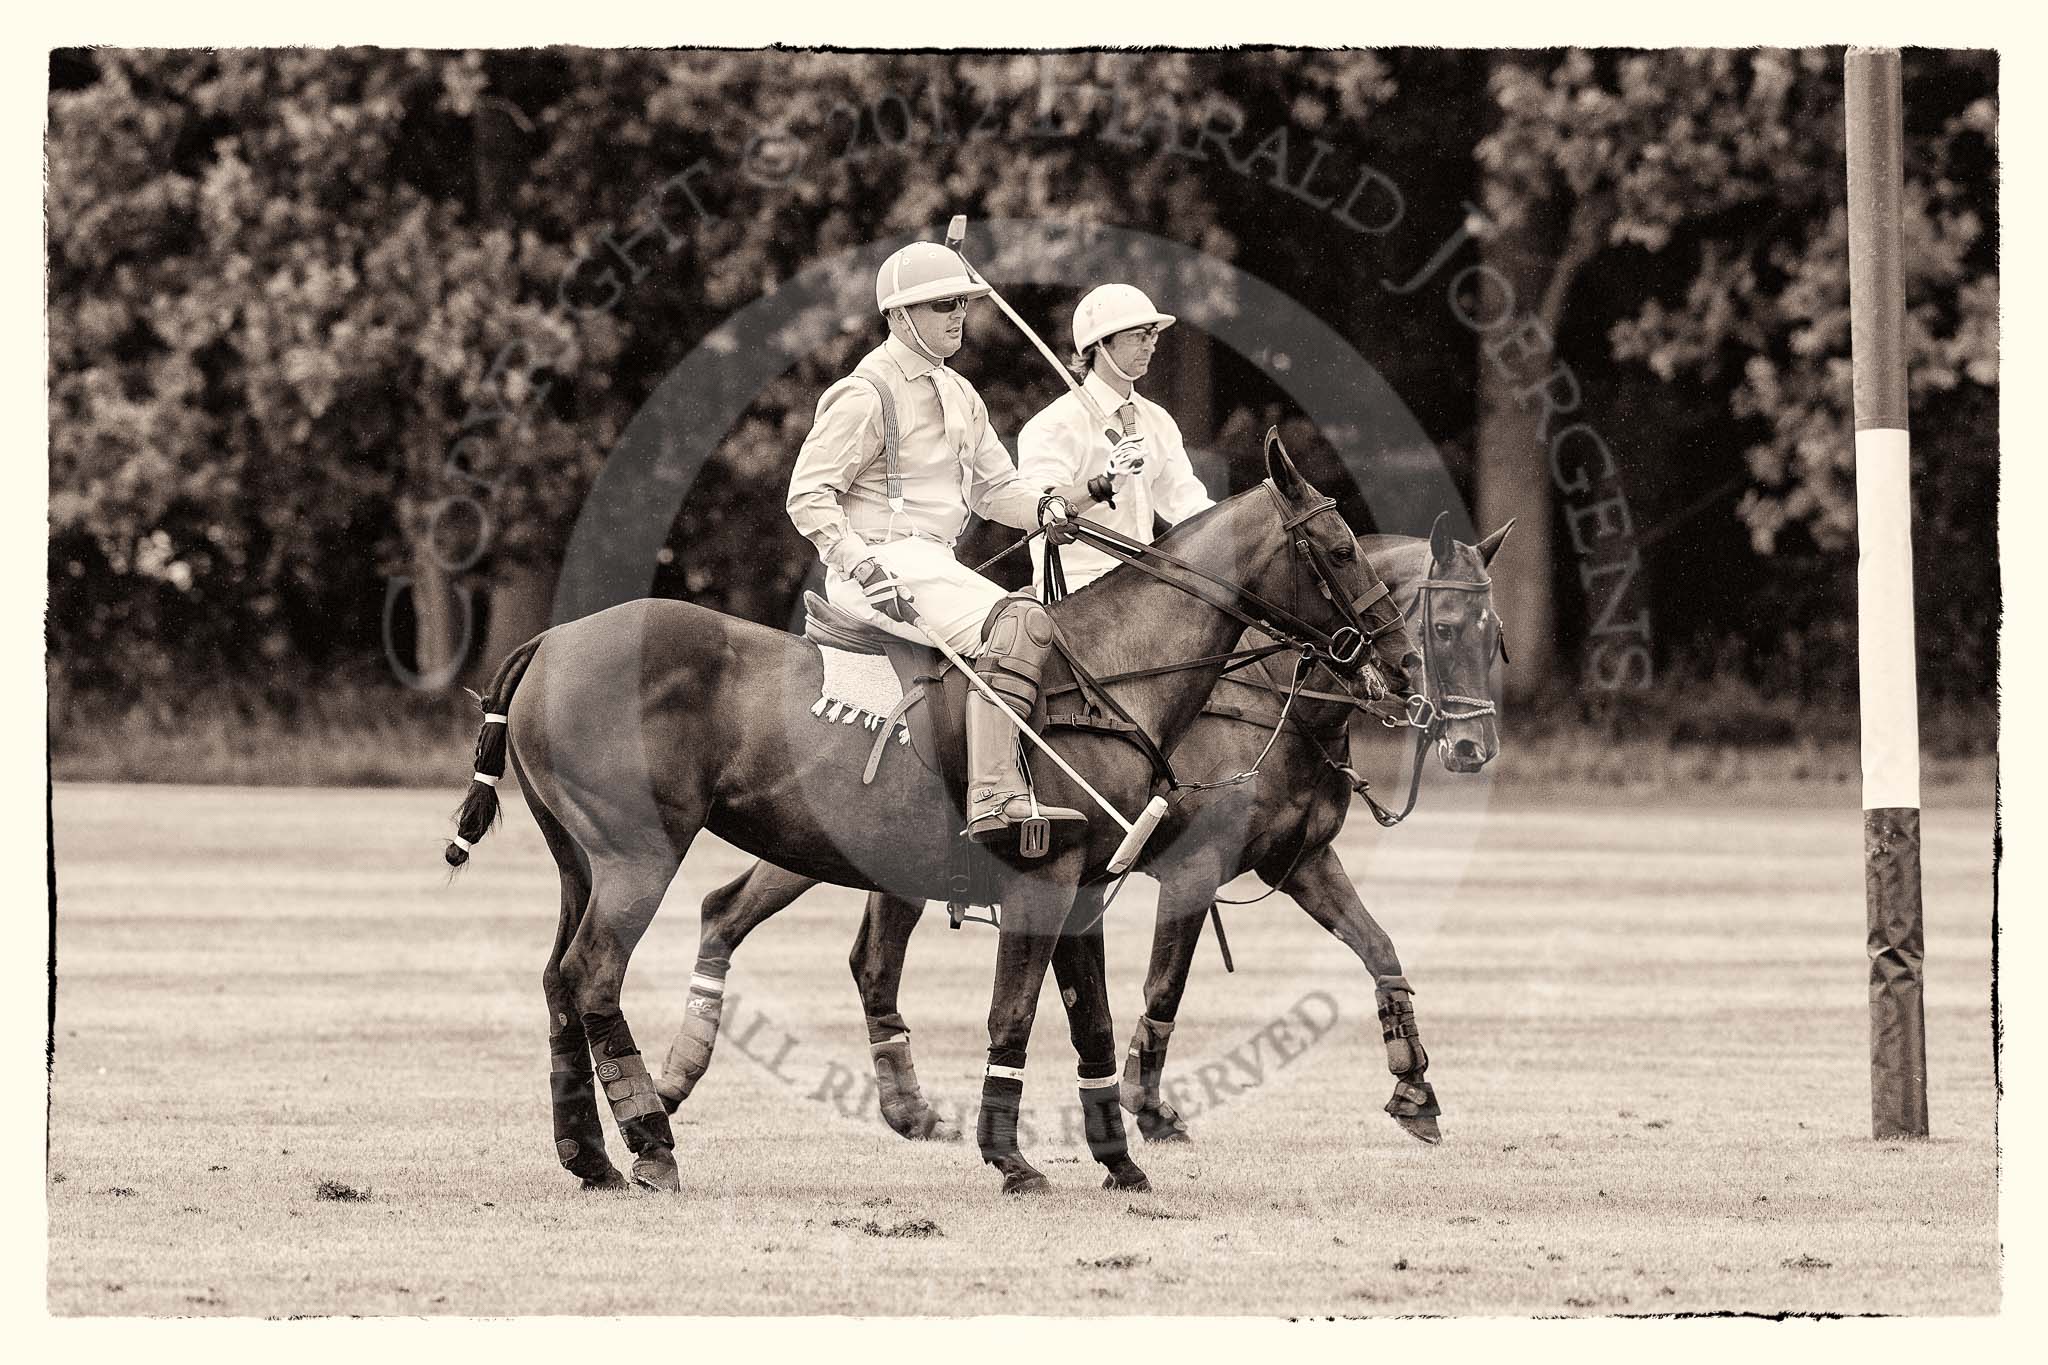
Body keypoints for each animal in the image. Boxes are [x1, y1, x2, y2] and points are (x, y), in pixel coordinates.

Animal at [440, 437, 1417, 1195]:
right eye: (1337, 548)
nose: (1400, 668)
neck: (1112, 671)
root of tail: (548, 641)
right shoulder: (1047, 876)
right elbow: (1014, 1016)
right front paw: (1013, 1160)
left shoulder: (1087, 887)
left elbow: (1092, 1020)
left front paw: (1120, 1162)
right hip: (640, 854)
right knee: (597, 974)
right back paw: (652, 1144)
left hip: (581, 858)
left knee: (560, 979)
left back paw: (591, 1156)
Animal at [663, 517, 1515, 1162]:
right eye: (1443, 627)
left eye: (1494, 633)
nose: (1472, 747)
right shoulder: (1193, 867)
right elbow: (1164, 986)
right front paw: (1150, 1107)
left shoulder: (1302, 859)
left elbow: (1380, 948)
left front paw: (1414, 1087)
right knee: (749, 919)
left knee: (822, 944)